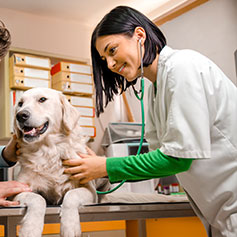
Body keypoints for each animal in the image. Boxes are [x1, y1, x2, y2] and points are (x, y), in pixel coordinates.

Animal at [12, 87, 109, 237]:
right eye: (20, 103)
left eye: (42, 99)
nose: (21, 115)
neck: (50, 151)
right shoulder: (19, 191)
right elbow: (37, 199)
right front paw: (30, 228)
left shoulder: (90, 190)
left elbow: (71, 195)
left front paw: (70, 226)